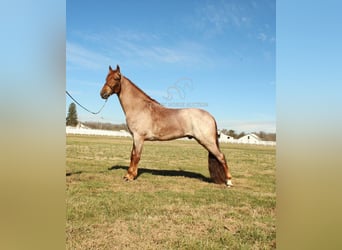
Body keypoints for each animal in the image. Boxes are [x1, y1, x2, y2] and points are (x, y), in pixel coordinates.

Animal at [99, 65, 232, 187]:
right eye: (106, 78)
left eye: (116, 78)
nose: (103, 94)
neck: (140, 108)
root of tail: (210, 116)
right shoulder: (135, 138)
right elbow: (132, 155)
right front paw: (128, 174)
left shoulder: (139, 137)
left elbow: (136, 156)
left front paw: (130, 177)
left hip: (207, 141)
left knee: (221, 157)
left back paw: (229, 181)